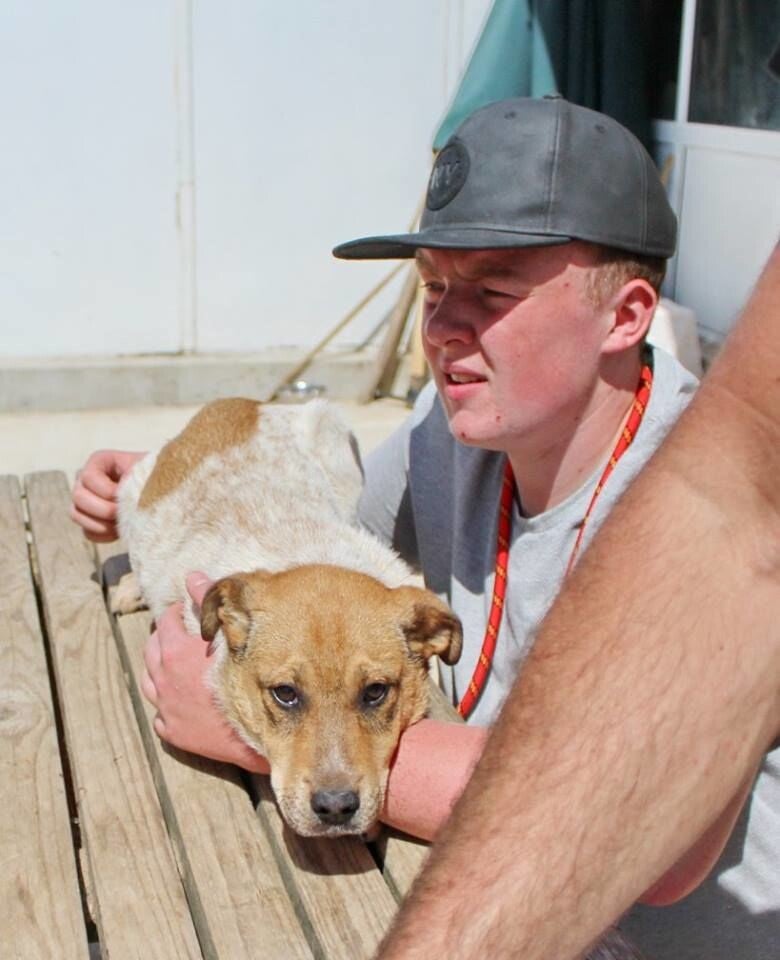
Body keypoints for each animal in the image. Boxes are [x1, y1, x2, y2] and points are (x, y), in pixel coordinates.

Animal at [115, 397, 462, 837]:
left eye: (375, 692)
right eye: (285, 693)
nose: (336, 808)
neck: (306, 552)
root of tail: (244, 402)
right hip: (130, 491)